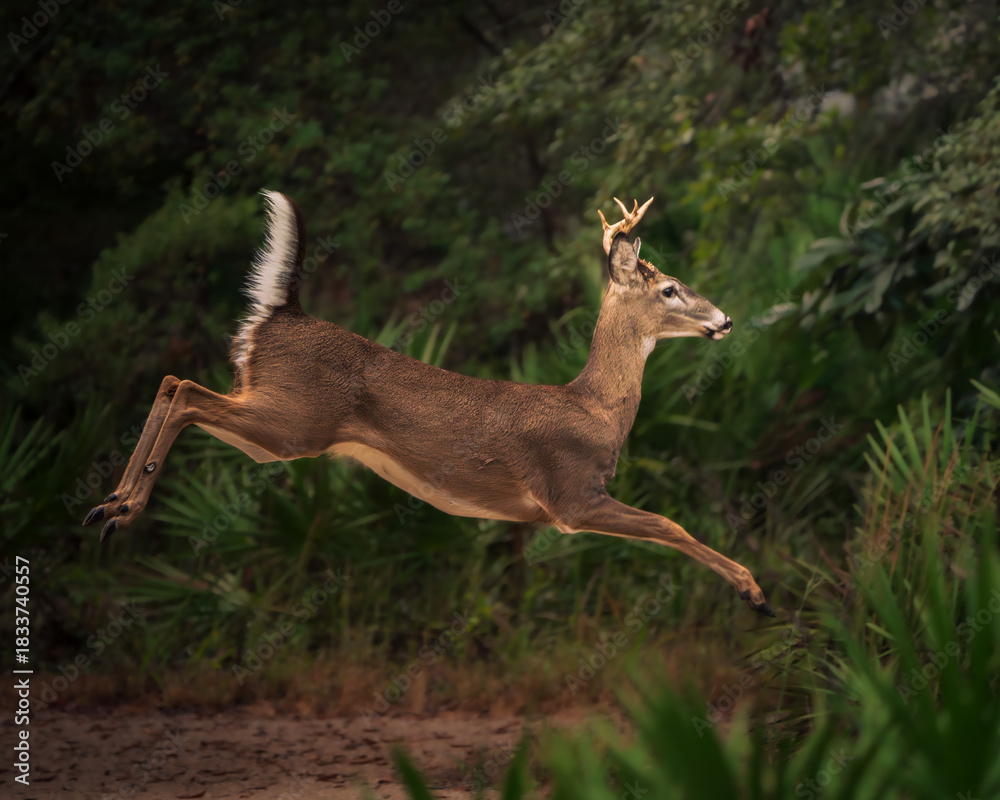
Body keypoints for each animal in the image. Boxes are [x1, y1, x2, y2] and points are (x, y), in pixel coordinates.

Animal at [82, 192, 774, 616]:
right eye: (670, 288)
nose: (725, 320)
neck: (596, 408)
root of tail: (281, 314)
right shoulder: (571, 497)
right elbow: (670, 524)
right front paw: (755, 591)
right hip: (291, 422)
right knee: (186, 390)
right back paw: (120, 510)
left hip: (273, 421)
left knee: (172, 382)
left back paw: (108, 507)